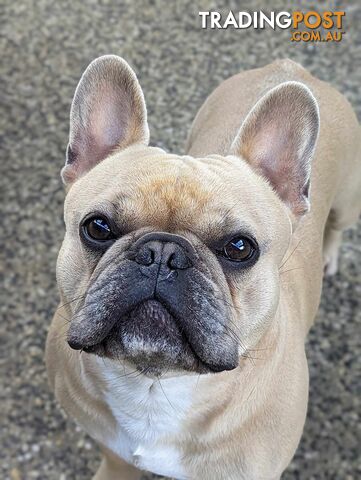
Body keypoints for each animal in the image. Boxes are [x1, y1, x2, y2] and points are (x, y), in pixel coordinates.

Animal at [46, 57, 358, 480]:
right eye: (97, 227)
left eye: (240, 248)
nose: (162, 253)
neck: (156, 386)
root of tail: (292, 67)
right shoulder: (114, 451)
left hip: (348, 201)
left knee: (338, 226)